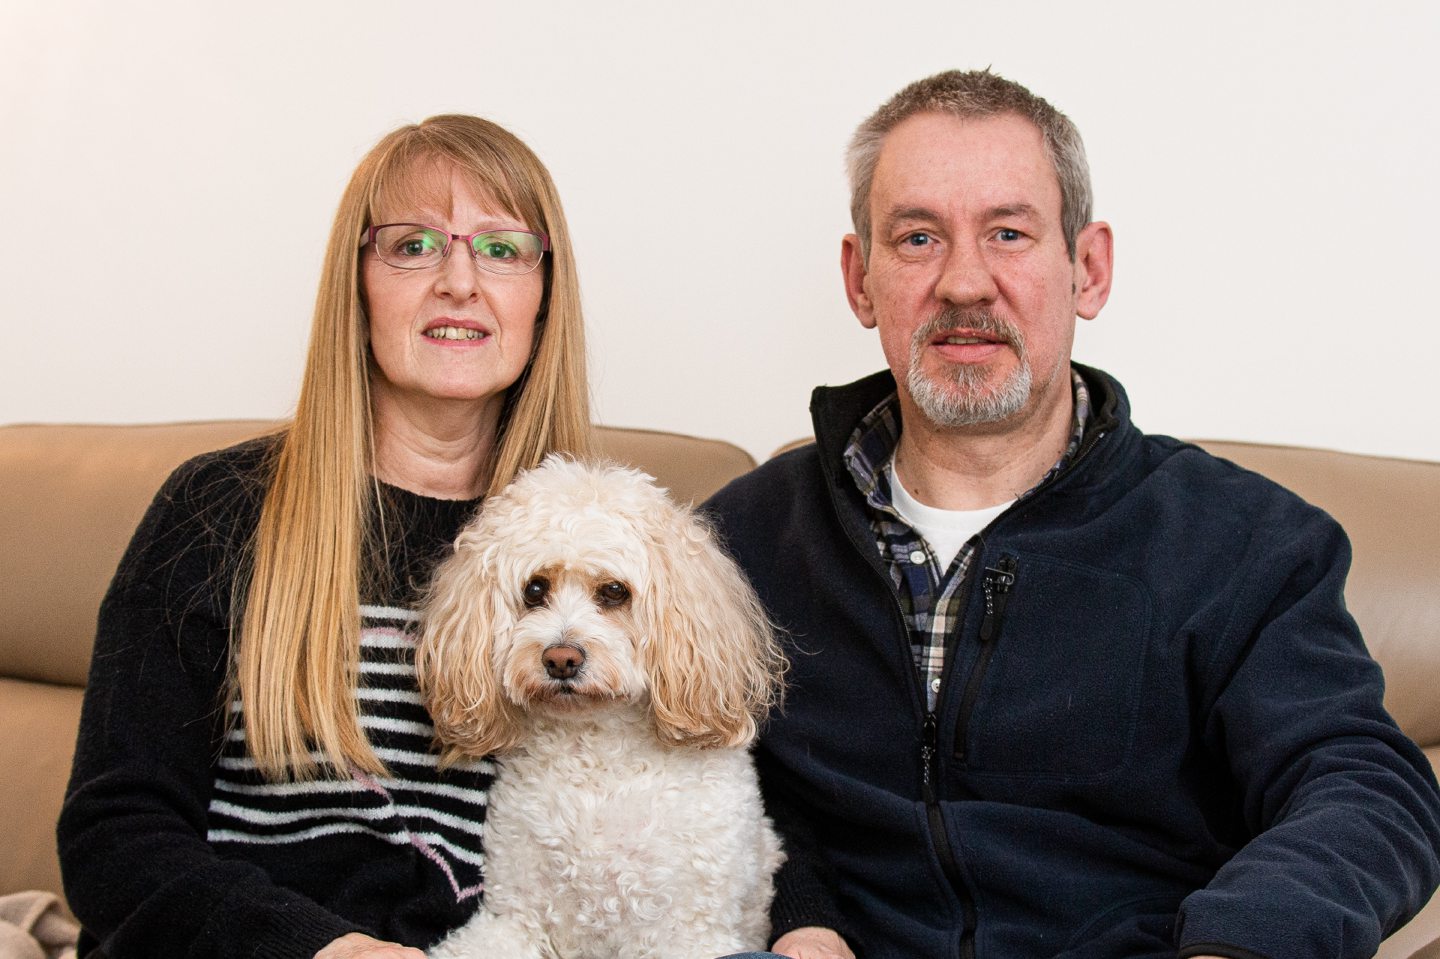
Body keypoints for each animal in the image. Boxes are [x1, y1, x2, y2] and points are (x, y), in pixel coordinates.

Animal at [417, 455, 789, 956]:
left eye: (614, 591)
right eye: (534, 590)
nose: (560, 659)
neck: (595, 762)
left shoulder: (687, 932)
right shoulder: (516, 917)